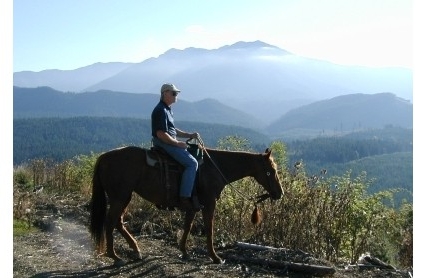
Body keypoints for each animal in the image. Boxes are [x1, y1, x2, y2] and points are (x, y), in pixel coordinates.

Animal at [88, 146, 282, 264]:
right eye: (270, 171)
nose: (280, 193)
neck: (215, 167)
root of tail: (104, 157)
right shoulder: (209, 203)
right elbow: (209, 228)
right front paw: (215, 257)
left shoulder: (193, 206)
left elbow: (187, 226)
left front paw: (184, 251)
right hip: (119, 197)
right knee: (110, 222)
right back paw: (115, 256)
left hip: (124, 197)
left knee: (118, 222)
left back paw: (135, 250)